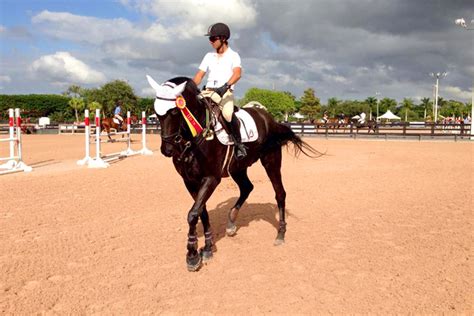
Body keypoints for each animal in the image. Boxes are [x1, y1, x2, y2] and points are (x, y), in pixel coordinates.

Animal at [146, 74, 320, 272]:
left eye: (175, 112)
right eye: (156, 113)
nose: (167, 150)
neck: (196, 138)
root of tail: (269, 118)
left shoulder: (211, 179)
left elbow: (193, 214)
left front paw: (192, 255)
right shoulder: (189, 181)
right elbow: (201, 212)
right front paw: (207, 247)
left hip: (271, 161)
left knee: (280, 194)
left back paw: (280, 234)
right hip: (238, 168)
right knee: (247, 187)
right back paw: (231, 221)